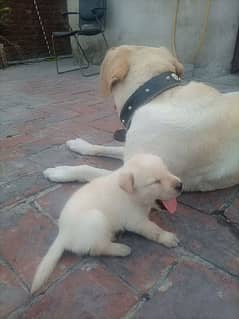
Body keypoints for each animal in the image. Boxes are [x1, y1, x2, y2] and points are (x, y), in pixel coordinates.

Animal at [30, 154, 182, 294]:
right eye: (155, 182)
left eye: (167, 170)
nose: (180, 185)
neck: (130, 193)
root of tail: (63, 234)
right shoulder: (136, 221)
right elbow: (153, 229)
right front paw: (166, 237)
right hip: (97, 219)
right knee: (96, 249)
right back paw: (121, 249)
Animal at [43, 45, 239, 192]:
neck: (159, 97)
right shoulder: (133, 151)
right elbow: (104, 148)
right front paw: (81, 145)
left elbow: (88, 169)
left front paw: (62, 171)